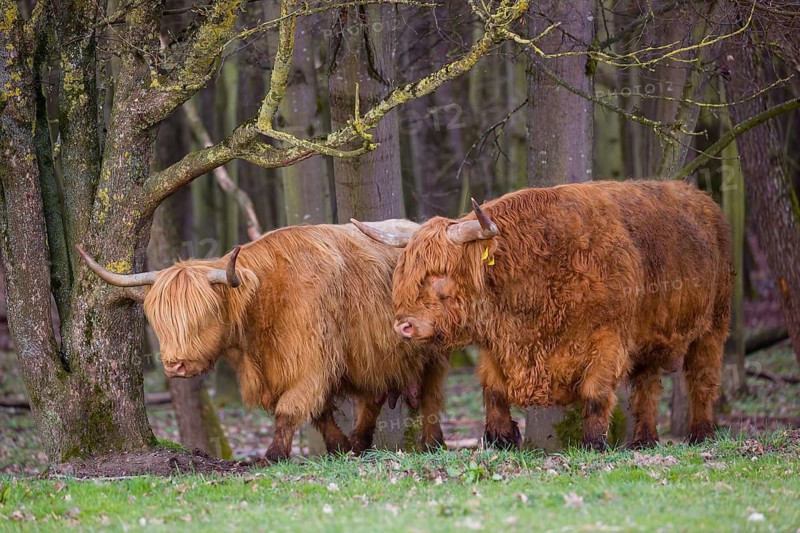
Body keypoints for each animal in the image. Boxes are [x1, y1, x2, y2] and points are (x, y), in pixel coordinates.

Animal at [77, 220, 449, 461]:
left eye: (203, 315)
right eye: (159, 322)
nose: (175, 365)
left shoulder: (312, 361)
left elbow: (291, 409)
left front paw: (273, 455)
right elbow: (318, 413)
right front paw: (339, 447)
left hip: (433, 352)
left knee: (431, 398)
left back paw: (432, 444)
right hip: (371, 359)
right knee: (371, 399)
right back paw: (359, 444)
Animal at [353, 180, 733, 450]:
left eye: (438, 274)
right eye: (403, 272)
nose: (404, 326)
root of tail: (701, 199)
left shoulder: (608, 339)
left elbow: (596, 393)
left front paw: (593, 444)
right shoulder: (496, 343)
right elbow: (493, 390)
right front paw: (502, 439)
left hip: (714, 324)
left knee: (702, 378)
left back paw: (700, 435)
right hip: (650, 336)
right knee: (647, 385)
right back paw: (644, 440)